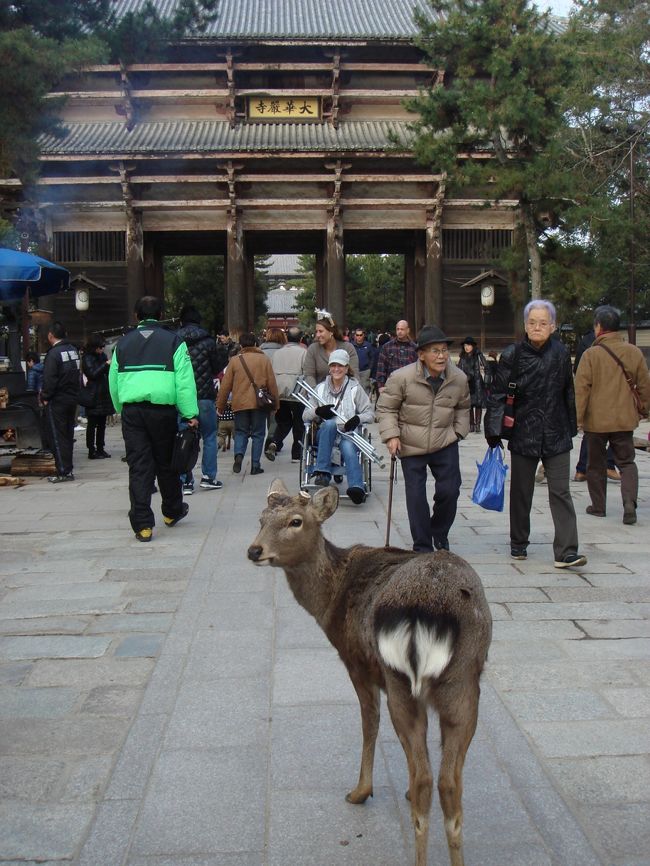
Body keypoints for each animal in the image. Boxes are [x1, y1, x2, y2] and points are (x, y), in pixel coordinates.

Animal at [247, 479, 492, 866]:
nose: (254, 550)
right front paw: (398, 790)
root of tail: (429, 612)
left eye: (295, 521)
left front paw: (360, 791)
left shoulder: (357, 662)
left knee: (426, 780)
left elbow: (369, 724)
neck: (328, 603)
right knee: (449, 786)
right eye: (261, 518)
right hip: (464, 682)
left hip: (400, 681)